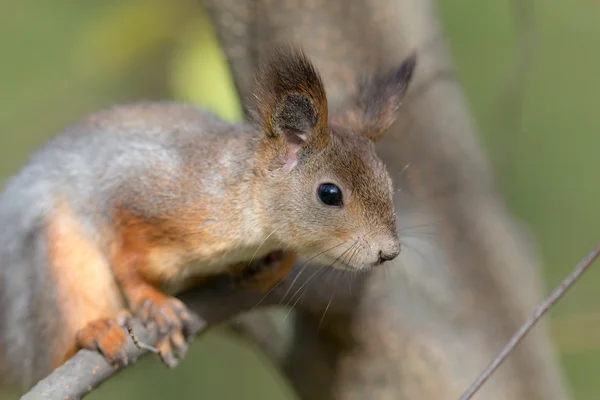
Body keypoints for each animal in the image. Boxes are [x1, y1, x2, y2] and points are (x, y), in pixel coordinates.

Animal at [0, 45, 414, 390]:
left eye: (388, 182)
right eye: (330, 194)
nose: (389, 252)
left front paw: (273, 266)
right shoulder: (139, 189)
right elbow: (125, 258)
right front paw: (153, 301)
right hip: (56, 265)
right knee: (56, 348)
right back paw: (98, 331)